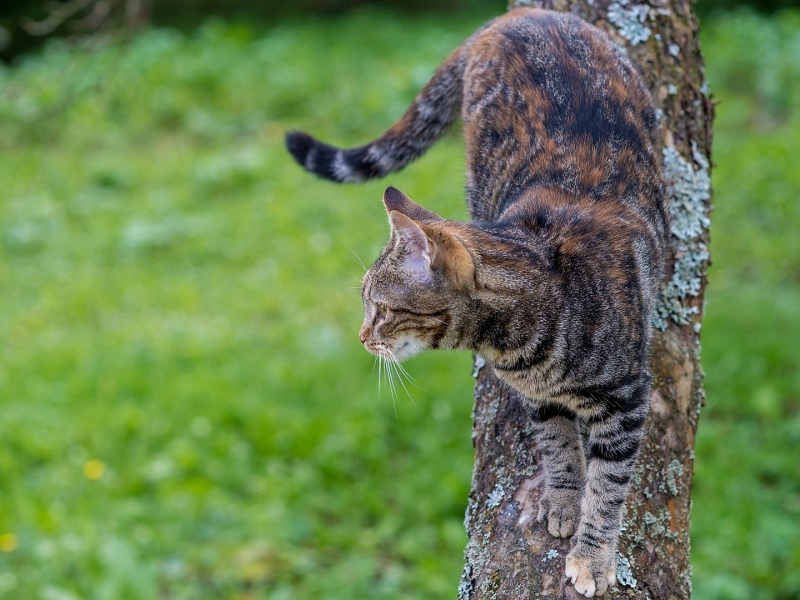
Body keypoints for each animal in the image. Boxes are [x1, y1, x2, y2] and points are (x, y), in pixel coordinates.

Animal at [288, 7, 668, 596]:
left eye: (380, 309)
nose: (362, 336)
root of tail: (520, 15)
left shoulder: (627, 397)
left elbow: (608, 487)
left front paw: (593, 554)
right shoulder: (537, 396)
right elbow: (558, 447)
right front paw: (562, 500)